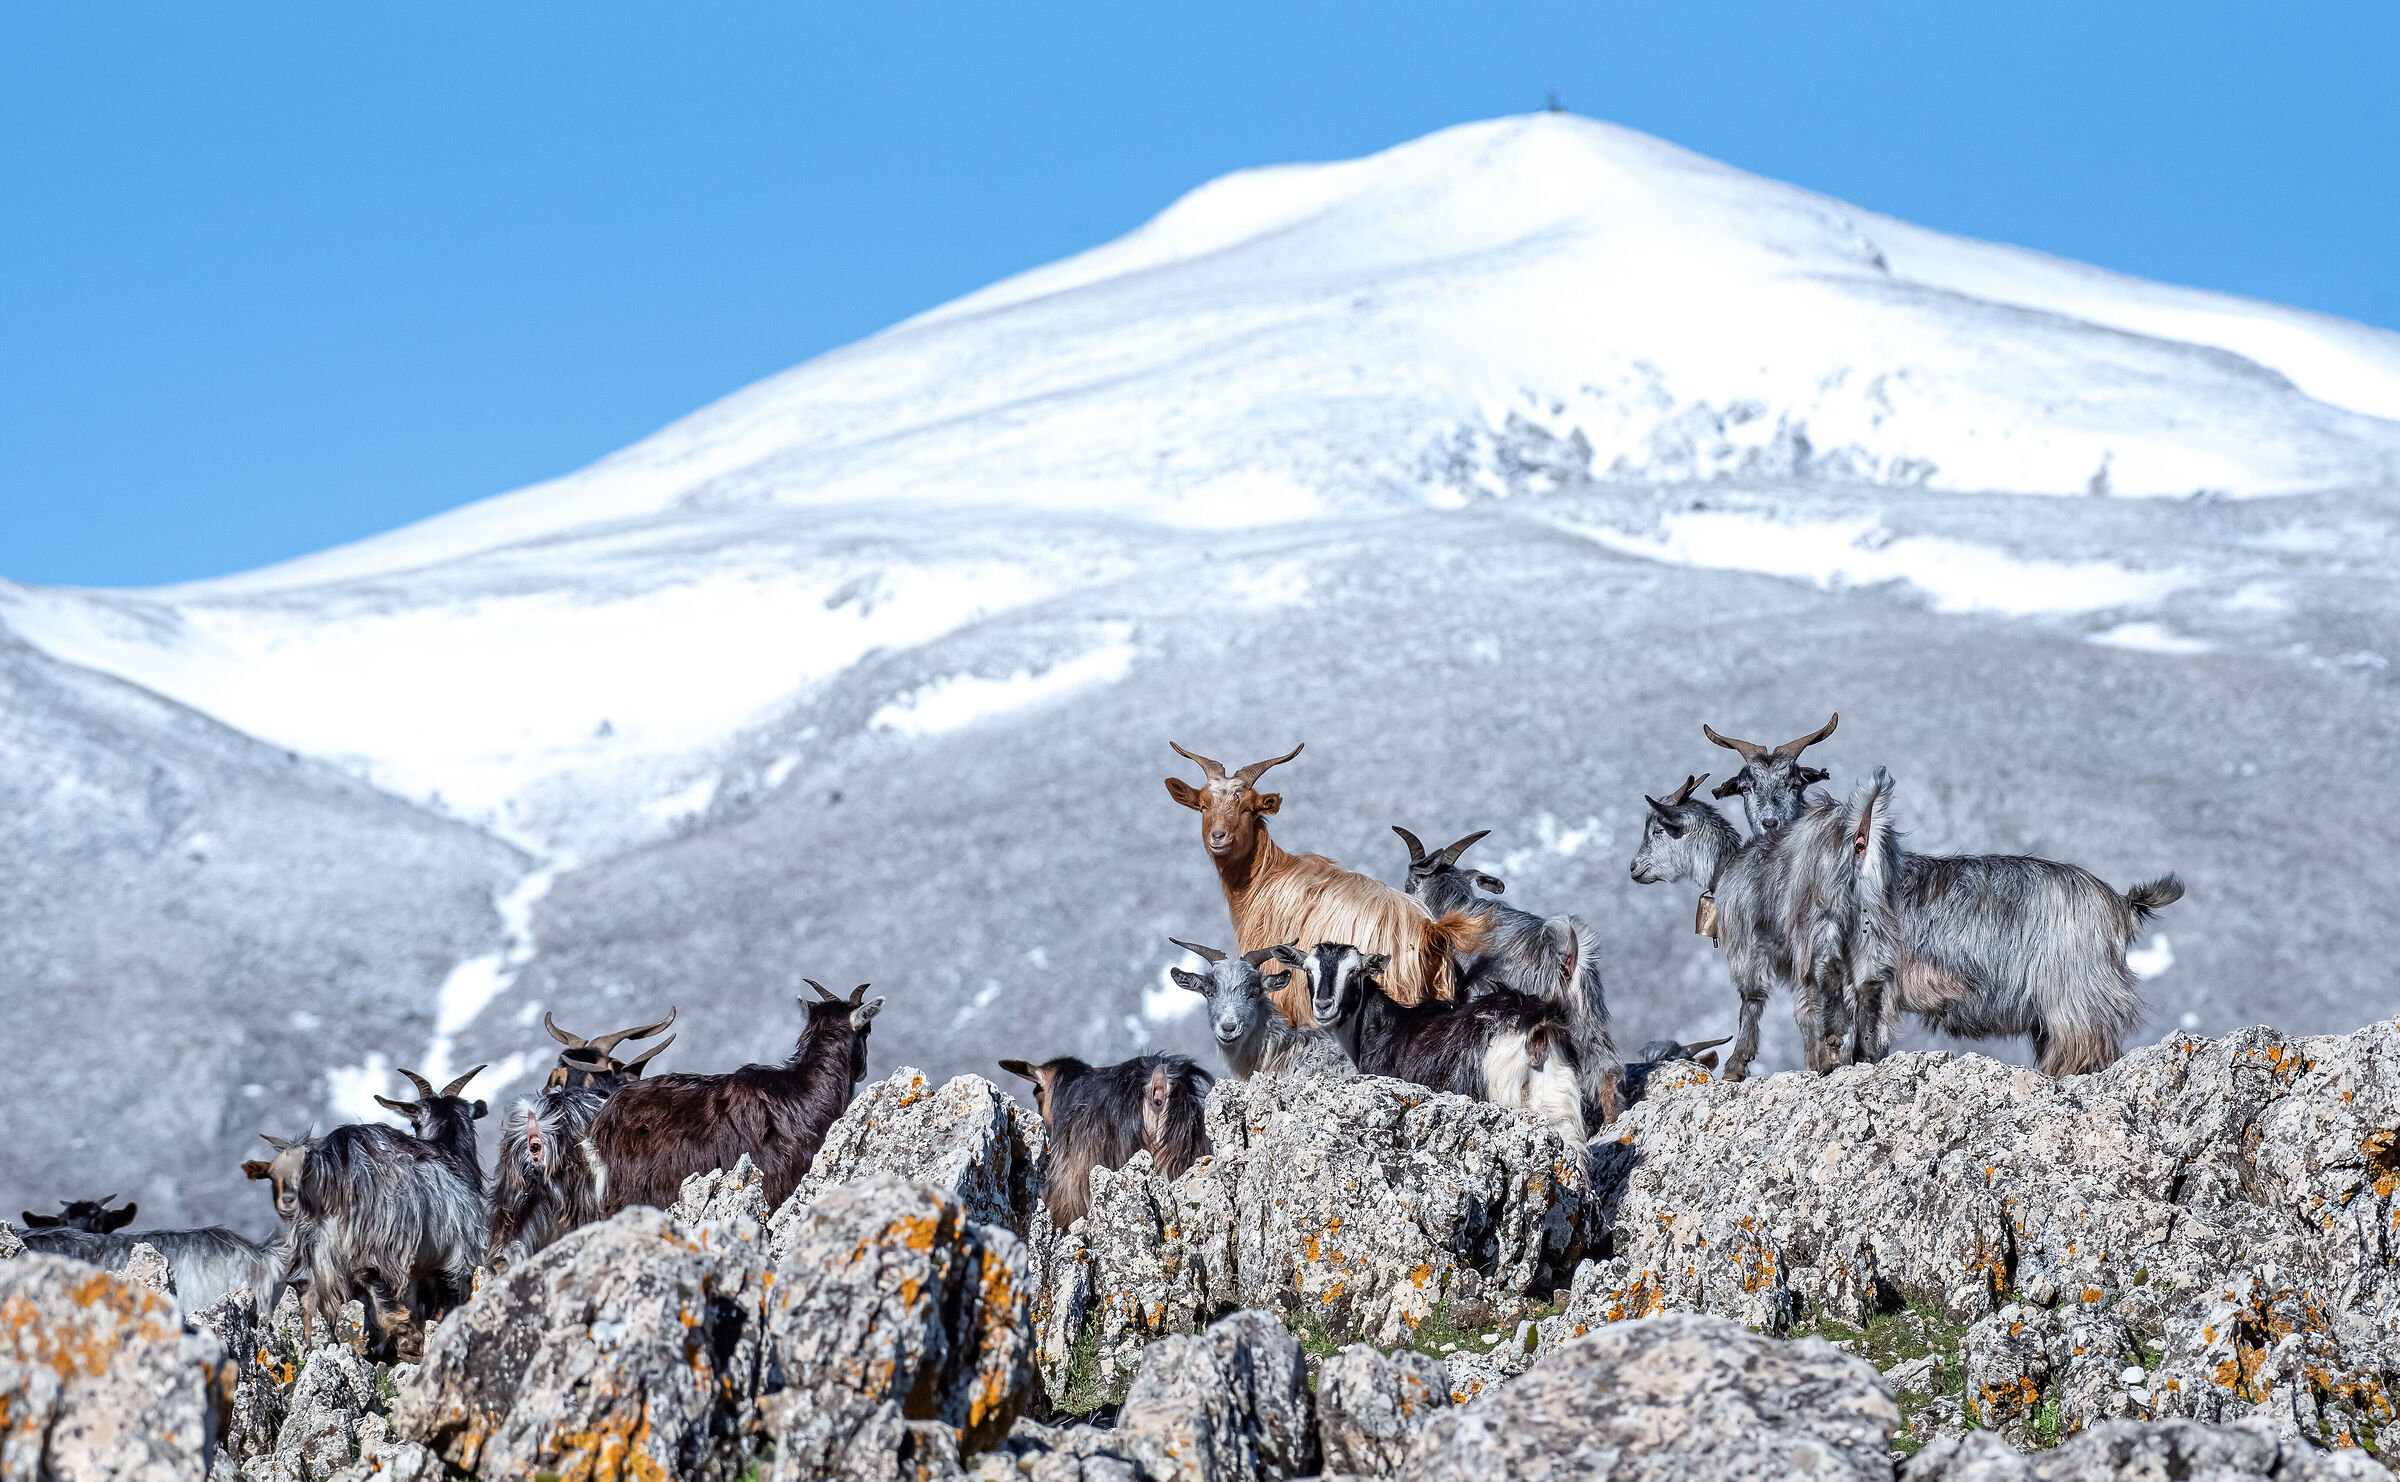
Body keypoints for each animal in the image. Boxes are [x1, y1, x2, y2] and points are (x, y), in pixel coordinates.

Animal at [243, 1065, 490, 1357]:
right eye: (414, 1123)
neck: (451, 1156)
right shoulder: (458, 1256)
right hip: (379, 1240)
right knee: (373, 1278)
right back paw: (405, 1337)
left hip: (313, 1252)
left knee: (310, 1297)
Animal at [1275, 942, 1586, 1145]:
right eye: (1308, 971)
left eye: (1354, 972)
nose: (1323, 1006)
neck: (1384, 1027)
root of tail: (1533, 1025)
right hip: (1559, 1104)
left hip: (1501, 1091)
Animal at [1628, 772, 1897, 1081]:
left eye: (1658, 830)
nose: (1634, 868)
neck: (1727, 868)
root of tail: (1857, 836)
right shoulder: (1797, 963)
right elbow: (1806, 1008)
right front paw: (1818, 1062)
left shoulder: (1748, 943)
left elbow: (1752, 996)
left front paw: (1736, 1065)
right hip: (1870, 919)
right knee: (1870, 983)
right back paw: (1866, 1053)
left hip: (1822, 915)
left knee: (1830, 970)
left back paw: (1835, 1036)